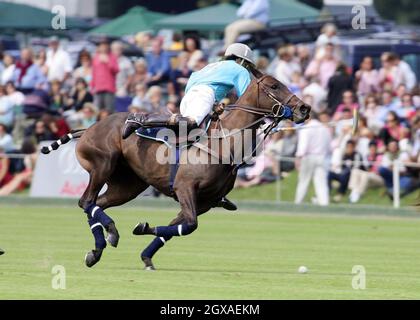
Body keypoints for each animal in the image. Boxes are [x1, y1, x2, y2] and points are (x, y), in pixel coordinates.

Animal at [42, 71, 310, 268]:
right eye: (274, 85)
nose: (304, 109)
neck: (222, 143)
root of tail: (87, 128)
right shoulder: (185, 188)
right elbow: (190, 225)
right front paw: (143, 230)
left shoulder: (205, 201)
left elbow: (177, 226)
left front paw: (146, 250)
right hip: (102, 165)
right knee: (87, 201)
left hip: (128, 186)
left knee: (96, 204)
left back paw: (102, 243)